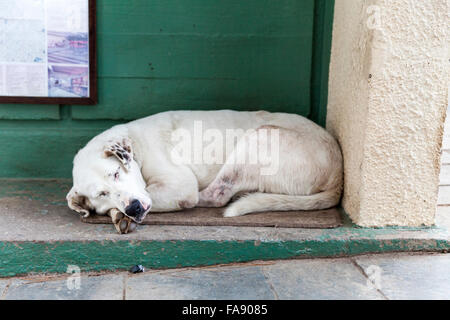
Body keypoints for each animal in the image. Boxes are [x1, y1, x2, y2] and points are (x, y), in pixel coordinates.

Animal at [66, 109, 342, 232]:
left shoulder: (179, 186)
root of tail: (338, 174)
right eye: (101, 194)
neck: (135, 144)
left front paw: (120, 214)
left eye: (116, 173)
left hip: (260, 136)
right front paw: (117, 213)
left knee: (216, 196)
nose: (133, 208)